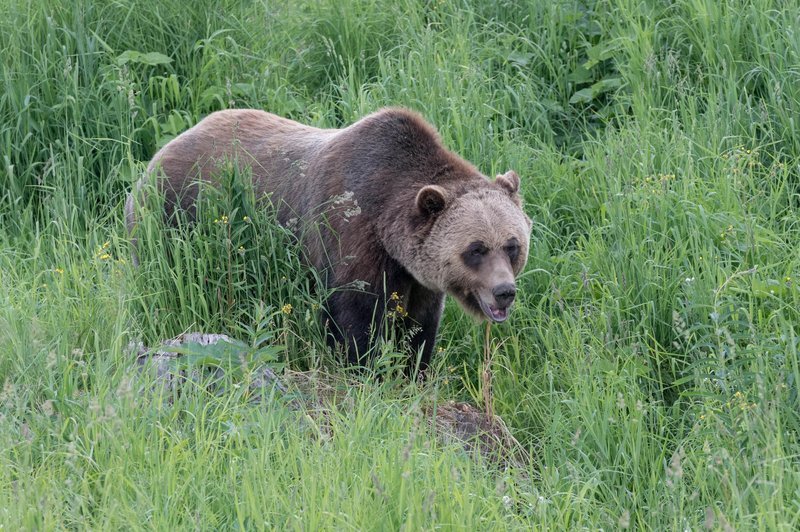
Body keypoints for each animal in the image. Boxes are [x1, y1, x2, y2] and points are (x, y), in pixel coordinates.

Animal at [126, 107, 532, 372]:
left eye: (512, 246)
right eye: (476, 249)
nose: (504, 291)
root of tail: (156, 156)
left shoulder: (418, 277)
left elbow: (418, 328)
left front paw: (411, 370)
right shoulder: (349, 236)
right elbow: (354, 319)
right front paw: (365, 368)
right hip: (174, 216)